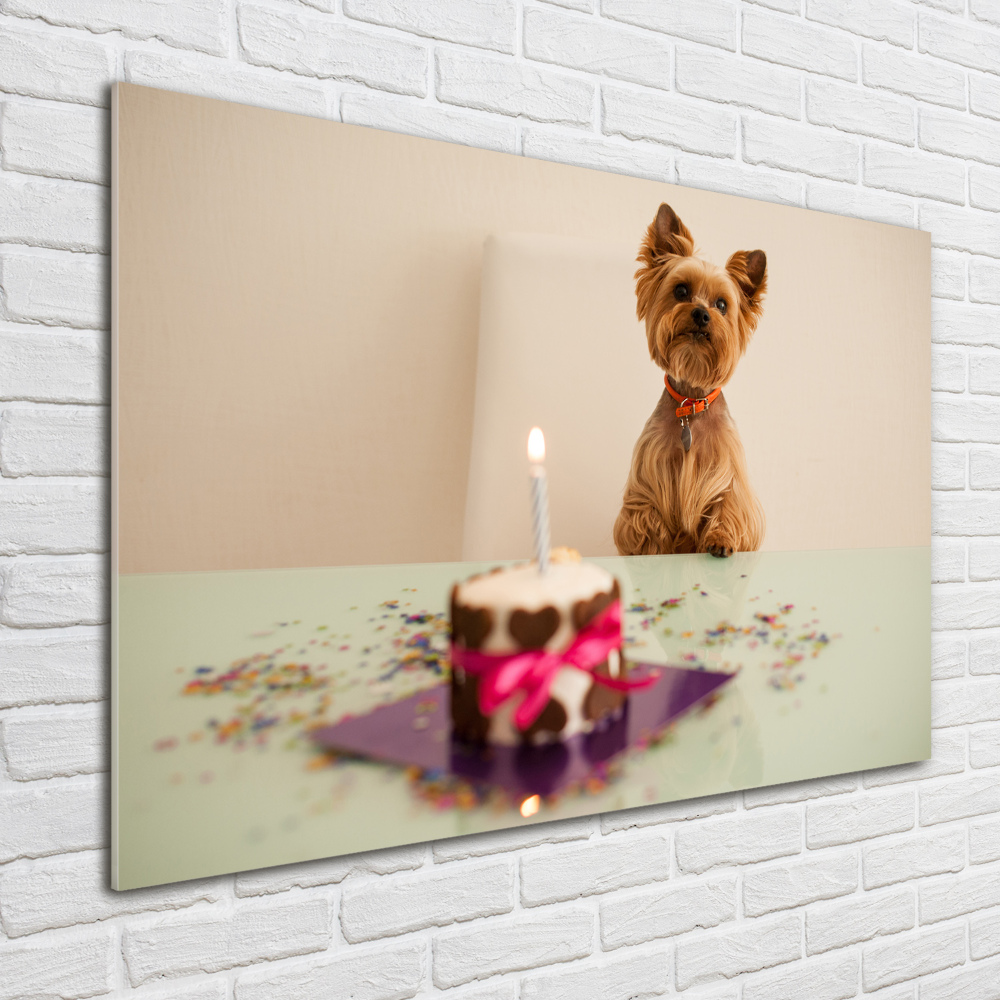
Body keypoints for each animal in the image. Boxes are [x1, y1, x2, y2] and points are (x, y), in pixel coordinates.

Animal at [612, 203, 768, 560]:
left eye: (722, 305)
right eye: (681, 290)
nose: (701, 313)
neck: (691, 403)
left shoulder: (729, 477)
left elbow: (728, 506)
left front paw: (721, 539)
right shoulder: (647, 480)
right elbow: (647, 518)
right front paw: (654, 549)